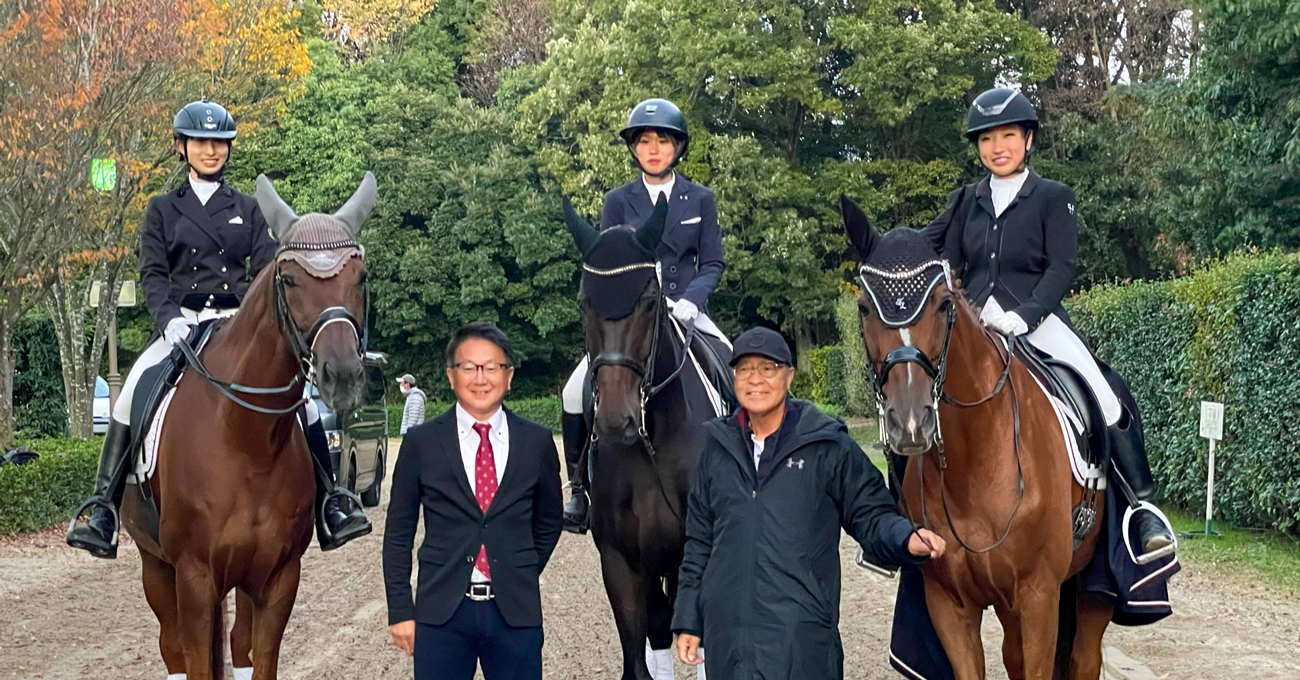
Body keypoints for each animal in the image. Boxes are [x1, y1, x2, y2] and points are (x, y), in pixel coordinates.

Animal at [118, 172, 377, 676]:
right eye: (290, 279)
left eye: (360, 277)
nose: (341, 376)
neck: (246, 442)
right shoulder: (194, 577)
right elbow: (196, 660)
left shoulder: (279, 577)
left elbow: (259, 657)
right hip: (155, 566)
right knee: (171, 647)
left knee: (237, 642)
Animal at [561, 197, 717, 680]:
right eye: (583, 303)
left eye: (649, 301)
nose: (616, 421)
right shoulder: (621, 560)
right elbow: (639, 655)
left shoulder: (691, 554)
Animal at [842, 197, 1118, 680]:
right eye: (863, 307)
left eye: (942, 304)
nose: (910, 423)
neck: (977, 466)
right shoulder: (949, 605)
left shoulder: (1039, 597)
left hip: (1092, 591)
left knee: (1084, 659)